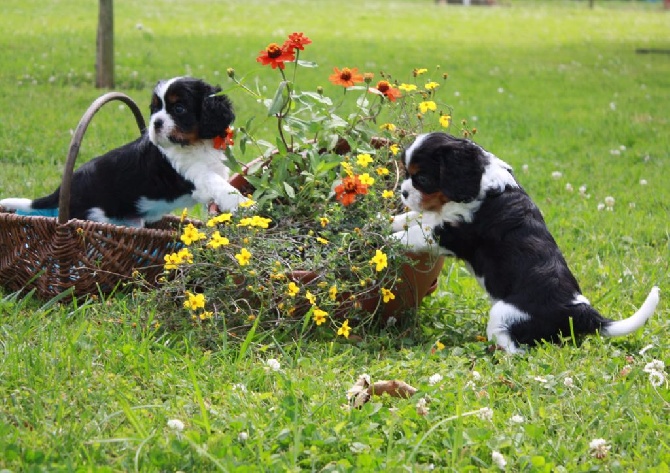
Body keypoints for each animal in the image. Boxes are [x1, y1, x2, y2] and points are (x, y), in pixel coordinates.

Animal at [0, 76, 247, 227]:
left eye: (179, 108)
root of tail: (64, 188)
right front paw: (243, 203)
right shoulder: (193, 173)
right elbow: (219, 185)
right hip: (93, 215)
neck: (195, 144)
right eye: (155, 109)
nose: (156, 123)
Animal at [394, 131, 660, 352]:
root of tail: (581, 310)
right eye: (407, 174)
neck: (482, 182)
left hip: (504, 314)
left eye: (422, 178)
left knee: (515, 348)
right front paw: (387, 220)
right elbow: (411, 218)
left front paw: (386, 240)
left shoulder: (450, 233)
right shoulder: (438, 217)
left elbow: (412, 233)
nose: (403, 193)